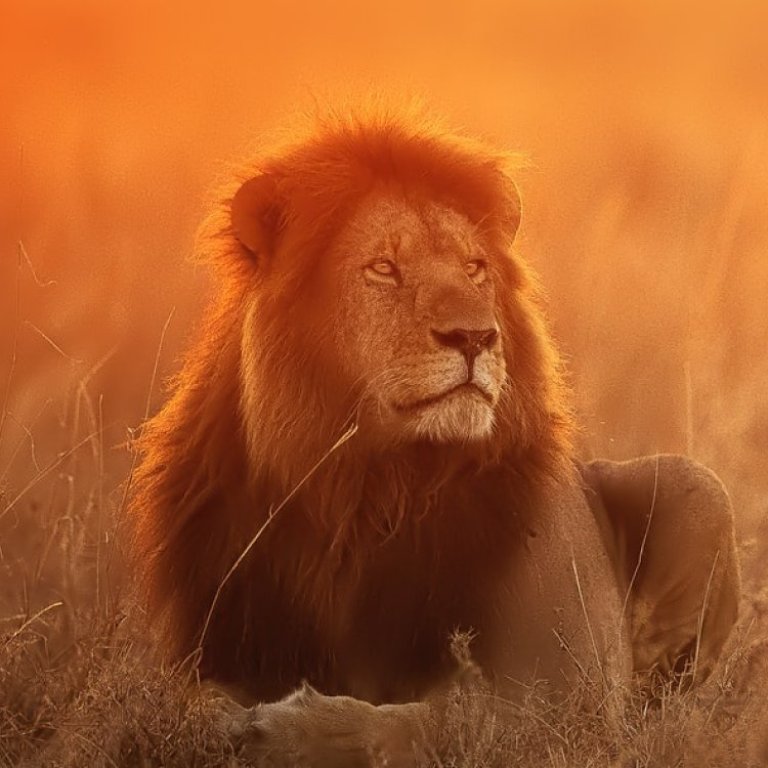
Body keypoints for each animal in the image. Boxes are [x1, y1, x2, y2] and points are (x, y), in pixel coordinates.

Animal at [129, 105, 740, 764]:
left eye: (474, 268)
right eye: (383, 267)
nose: (474, 336)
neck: (367, 488)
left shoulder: (568, 694)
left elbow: (441, 719)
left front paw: (285, 730)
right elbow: (181, 701)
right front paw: (220, 722)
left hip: (695, 486)